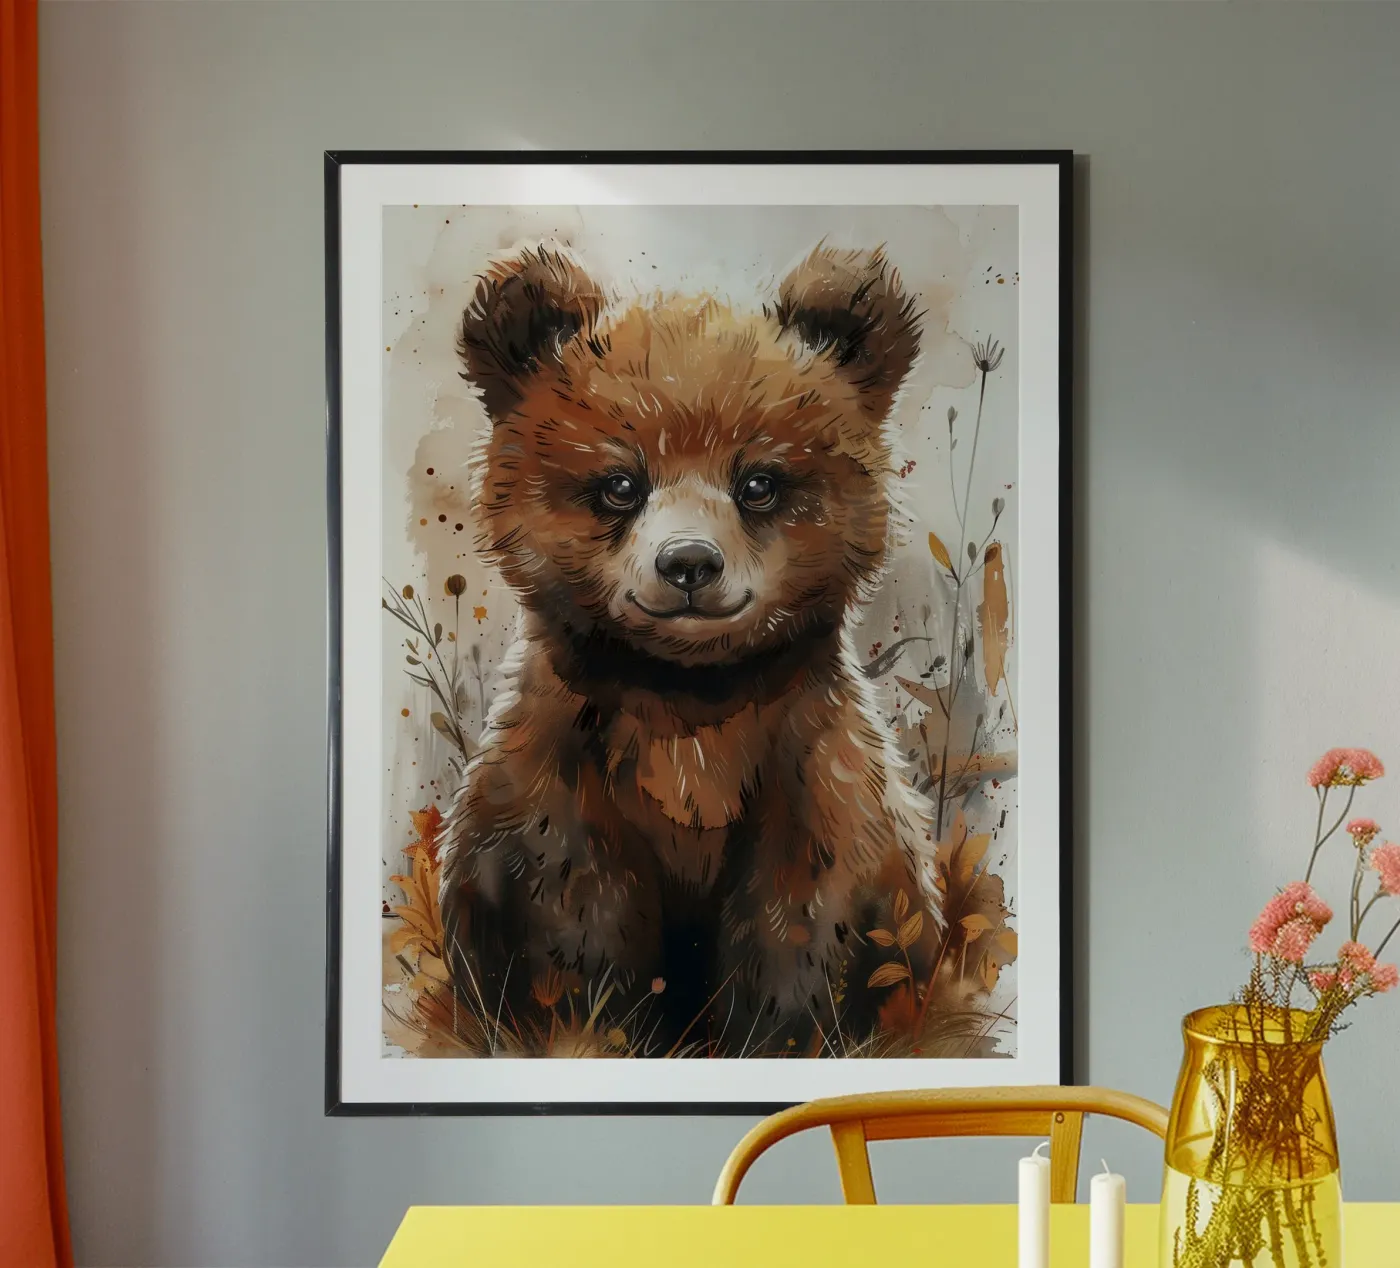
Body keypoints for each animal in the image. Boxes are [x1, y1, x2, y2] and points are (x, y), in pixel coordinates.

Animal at [438, 241, 944, 1057]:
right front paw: (597, 1024)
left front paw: (778, 1029)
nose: (688, 564)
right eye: (620, 482)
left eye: (759, 482)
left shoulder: (805, 770)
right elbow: (574, 920)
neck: (687, 701)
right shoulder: (566, 777)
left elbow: (806, 916)